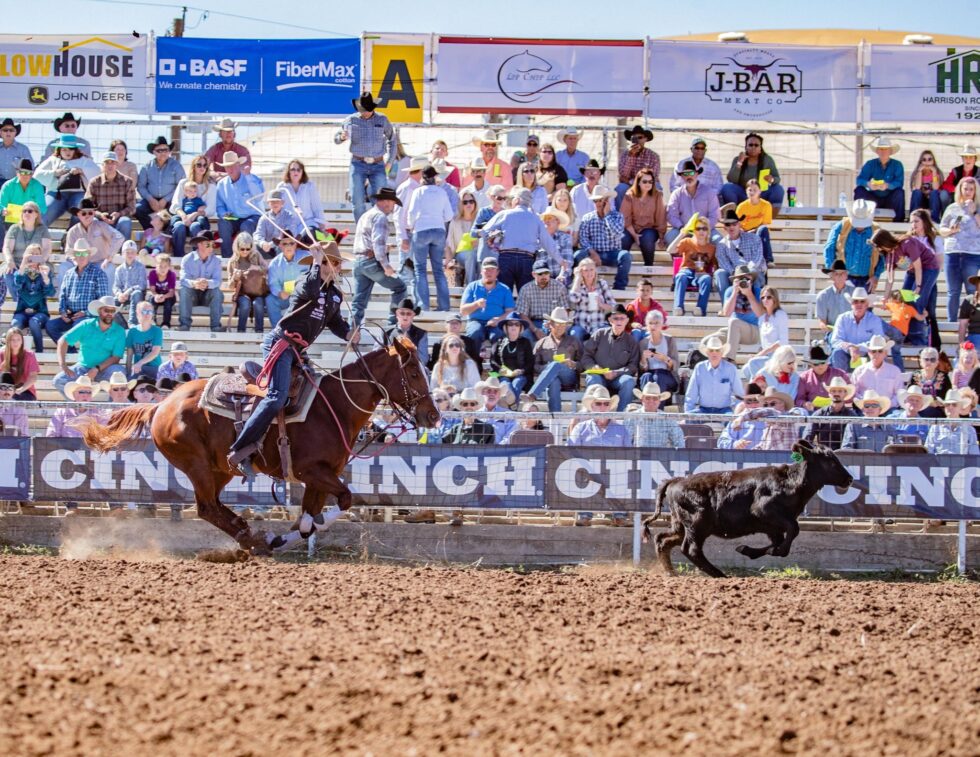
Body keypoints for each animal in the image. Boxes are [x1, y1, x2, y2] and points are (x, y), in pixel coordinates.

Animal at [78, 336, 438, 556]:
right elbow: (343, 501)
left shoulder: (318, 478)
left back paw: (250, 535)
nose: (433, 415)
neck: (333, 405)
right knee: (207, 508)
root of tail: (162, 405)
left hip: (219, 468)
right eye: (414, 373)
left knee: (213, 506)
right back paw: (251, 538)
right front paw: (278, 539)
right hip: (197, 464)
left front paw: (284, 537)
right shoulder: (311, 472)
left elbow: (310, 519)